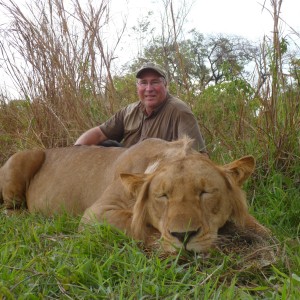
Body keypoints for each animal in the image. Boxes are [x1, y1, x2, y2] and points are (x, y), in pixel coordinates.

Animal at [0, 138, 268, 253]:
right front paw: (167, 244)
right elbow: (135, 225)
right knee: (9, 210)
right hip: (25, 157)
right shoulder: (96, 213)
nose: (184, 236)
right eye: (162, 196)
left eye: (205, 192)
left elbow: (259, 227)